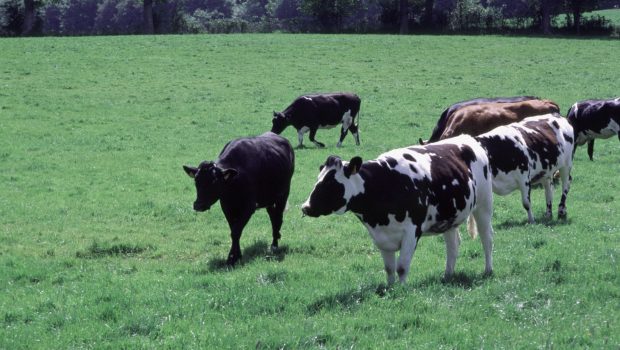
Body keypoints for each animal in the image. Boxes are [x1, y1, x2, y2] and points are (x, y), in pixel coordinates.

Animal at [183, 131, 294, 266]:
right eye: (196, 180)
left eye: (214, 182)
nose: (198, 205)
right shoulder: (227, 207)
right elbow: (233, 230)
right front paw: (236, 255)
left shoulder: (248, 207)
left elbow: (236, 231)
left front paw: (232, 258)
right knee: (273, 215)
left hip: (283, 195)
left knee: (277, 218)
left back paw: (274, 245)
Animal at [300, 135, 494, 286]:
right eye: (318, 179)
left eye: (330, 183)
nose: (306, 207)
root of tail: (469, 139)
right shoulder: (382, 235)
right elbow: (389, 268)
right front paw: (390, 288)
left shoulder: (412, 231)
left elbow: (401, 267)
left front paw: (401, 290)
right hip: (449, 217)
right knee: (452, 245)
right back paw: (447, 276)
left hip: (484, 205)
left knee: (487, 238)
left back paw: (488, 271)